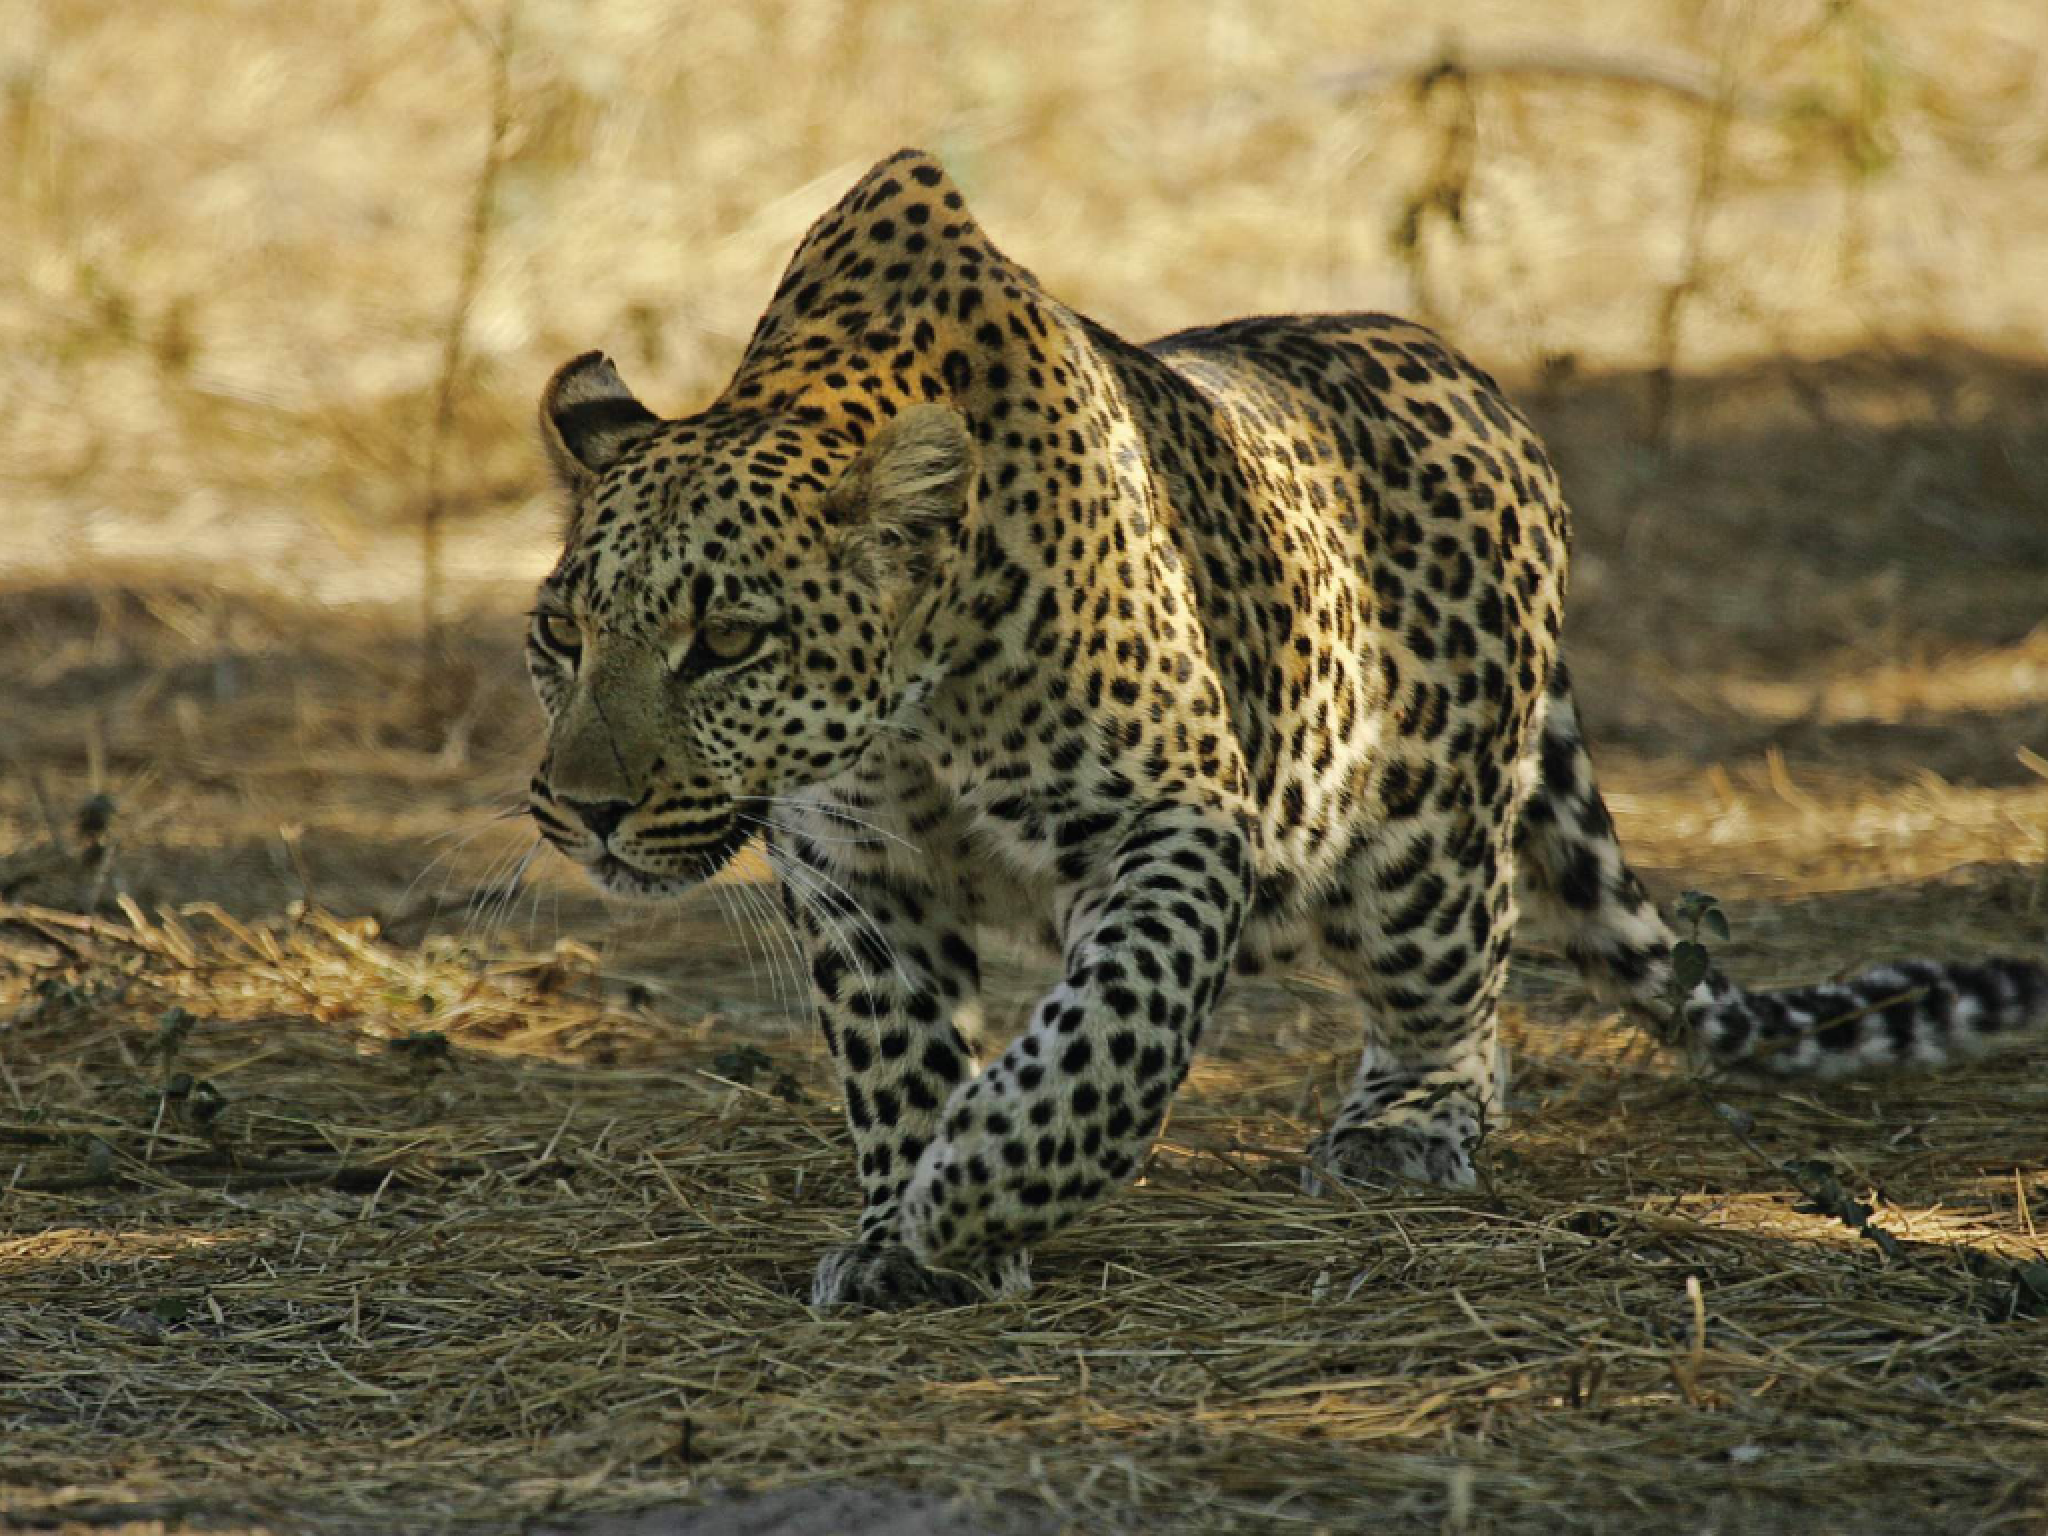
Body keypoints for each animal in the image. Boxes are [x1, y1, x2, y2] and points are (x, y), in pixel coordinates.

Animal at [522, 149, 2048, 1309]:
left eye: (725, 641)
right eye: (561, 637)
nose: (581, 810)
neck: (911, 716)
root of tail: (1474, 382)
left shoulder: (1174, 821)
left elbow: (1107, 1030)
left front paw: (977, 1195)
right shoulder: (851, 868)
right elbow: (895, 1057)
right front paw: (905, 1228)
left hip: (1418, 852)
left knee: (1470, 1009)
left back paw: (1402, 1127)